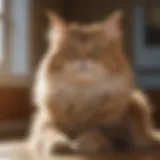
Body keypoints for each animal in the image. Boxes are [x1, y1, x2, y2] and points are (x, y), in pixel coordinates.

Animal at [27, 10, 160, 155]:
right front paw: (59, 144)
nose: (83, 60)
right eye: (72, 51)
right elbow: (50, 133)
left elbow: (94, 131)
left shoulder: (110, 127)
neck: (83, 94)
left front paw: (83, 142)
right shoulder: (44, 121)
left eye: (96, 51)